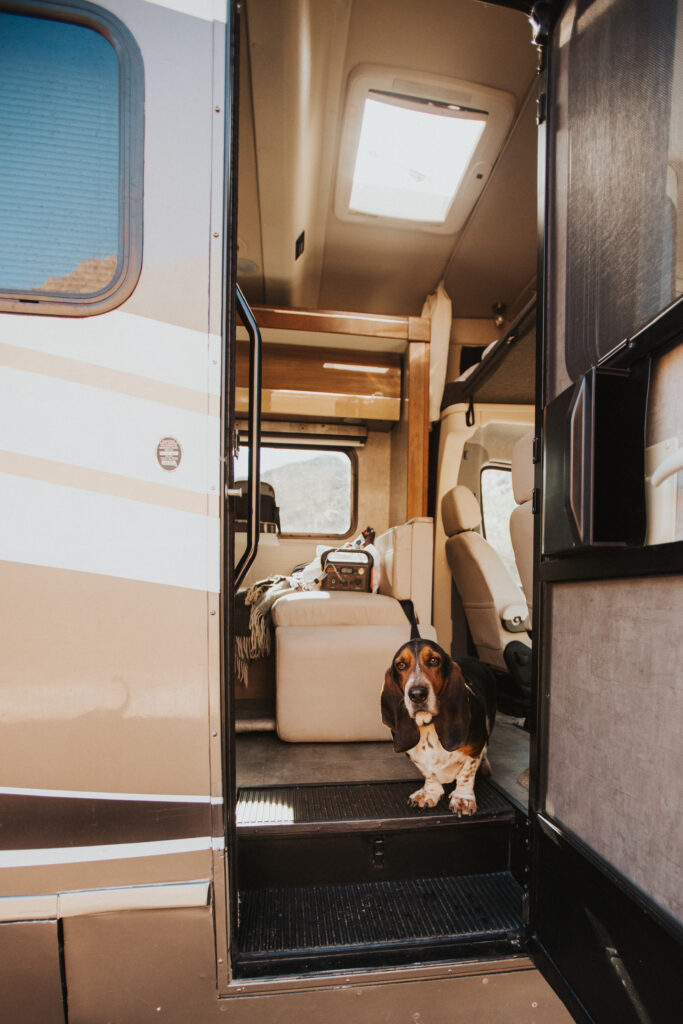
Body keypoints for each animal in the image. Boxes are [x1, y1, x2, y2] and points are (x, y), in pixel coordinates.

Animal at [378, 638, 497, 815]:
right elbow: (429, 773)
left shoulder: (475, 747)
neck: (429, 724)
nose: (417, 694)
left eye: (434, 660)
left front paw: (463, 799)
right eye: (401, 665)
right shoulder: (415, 755)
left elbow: (467, 773)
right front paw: (429, 793)